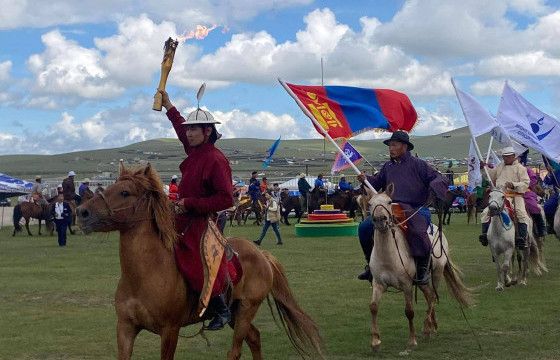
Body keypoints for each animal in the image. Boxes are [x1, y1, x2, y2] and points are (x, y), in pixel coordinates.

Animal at [76, 165, 326, 360]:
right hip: (235, 312)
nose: (82, 212)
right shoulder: (126, 328)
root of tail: (261, 254)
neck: (144, 275)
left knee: (236, 350)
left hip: (246, 309)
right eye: (106, 188)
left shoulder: (169, 331)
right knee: (255, 338)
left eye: (125, 192)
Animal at [370, 184, 474, 352]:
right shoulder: (378, 284)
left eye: (389, 202)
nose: (380, 220)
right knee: (429, 295)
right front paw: (375, 342)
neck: (388, 256)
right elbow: (373, 307)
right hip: (422, 282)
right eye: (370, 204)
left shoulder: (406, 285)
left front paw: (412, 341)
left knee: (432, 297)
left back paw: (427, 328)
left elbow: (409, 312)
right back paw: (433, 325)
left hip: (437, 273)